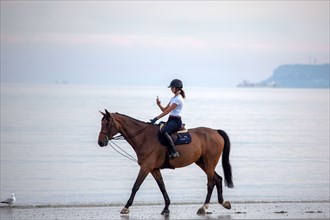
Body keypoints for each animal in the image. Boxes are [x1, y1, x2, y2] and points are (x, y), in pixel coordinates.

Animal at [96, 109, 233, 216]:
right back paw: (223, 203)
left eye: (107, 124)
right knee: (218, 179)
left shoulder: (145, 167)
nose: (101, 142)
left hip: (210, 162)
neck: (144, 137)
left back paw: (203, 207)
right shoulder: (154, 169)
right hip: (202, 162)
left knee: (210, 183)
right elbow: (162, 187)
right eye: (101, 123)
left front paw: (126, 207)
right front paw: (166, 207)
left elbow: (136, 186)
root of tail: (215, 131)